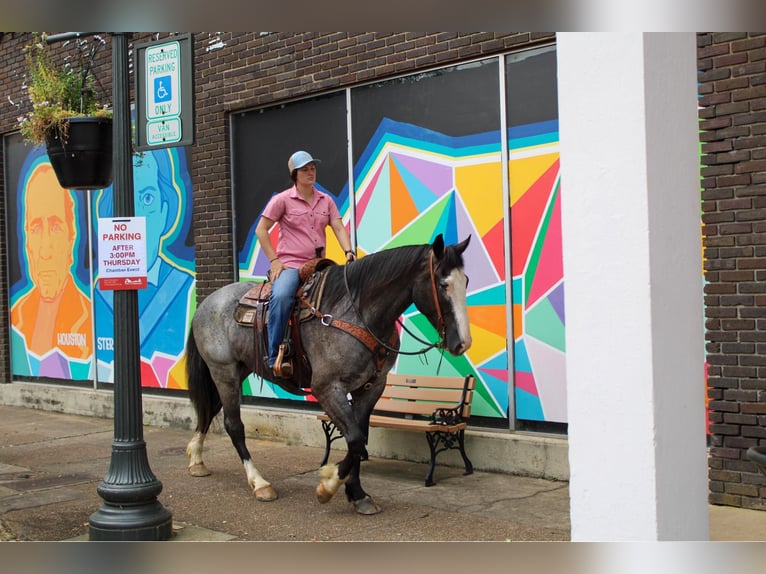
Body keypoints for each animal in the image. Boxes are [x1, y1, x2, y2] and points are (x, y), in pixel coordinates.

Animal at [187, 234, 474, 516]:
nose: (463, 343)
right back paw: (260, 483)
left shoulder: (370, 388)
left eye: (466, 281)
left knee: (209, 409)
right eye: (443, 284)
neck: (357, 313)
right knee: (233, 425)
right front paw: (329, 485)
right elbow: (355, 440)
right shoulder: (327, 388)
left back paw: (196, 459)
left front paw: (357, 494)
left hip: (237, 369)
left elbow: (359, 439)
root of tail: (207, 303)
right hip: (223, 371)